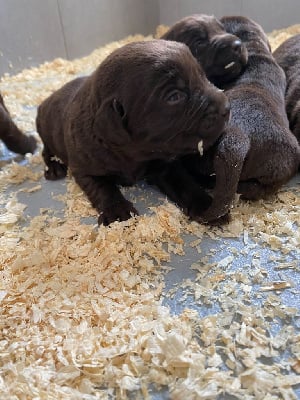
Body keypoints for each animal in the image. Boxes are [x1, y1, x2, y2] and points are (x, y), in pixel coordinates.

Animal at [37, 39, 230, 225]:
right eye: (174, 96)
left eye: (202, 75)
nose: (227, 108)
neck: (134, 153)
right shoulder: (84, 168)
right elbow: (103, 188)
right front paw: (118, 211)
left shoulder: (164, 164)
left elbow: (183, 182)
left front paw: (206, 206)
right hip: (45, 132)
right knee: (46, 151)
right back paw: (54, 168)